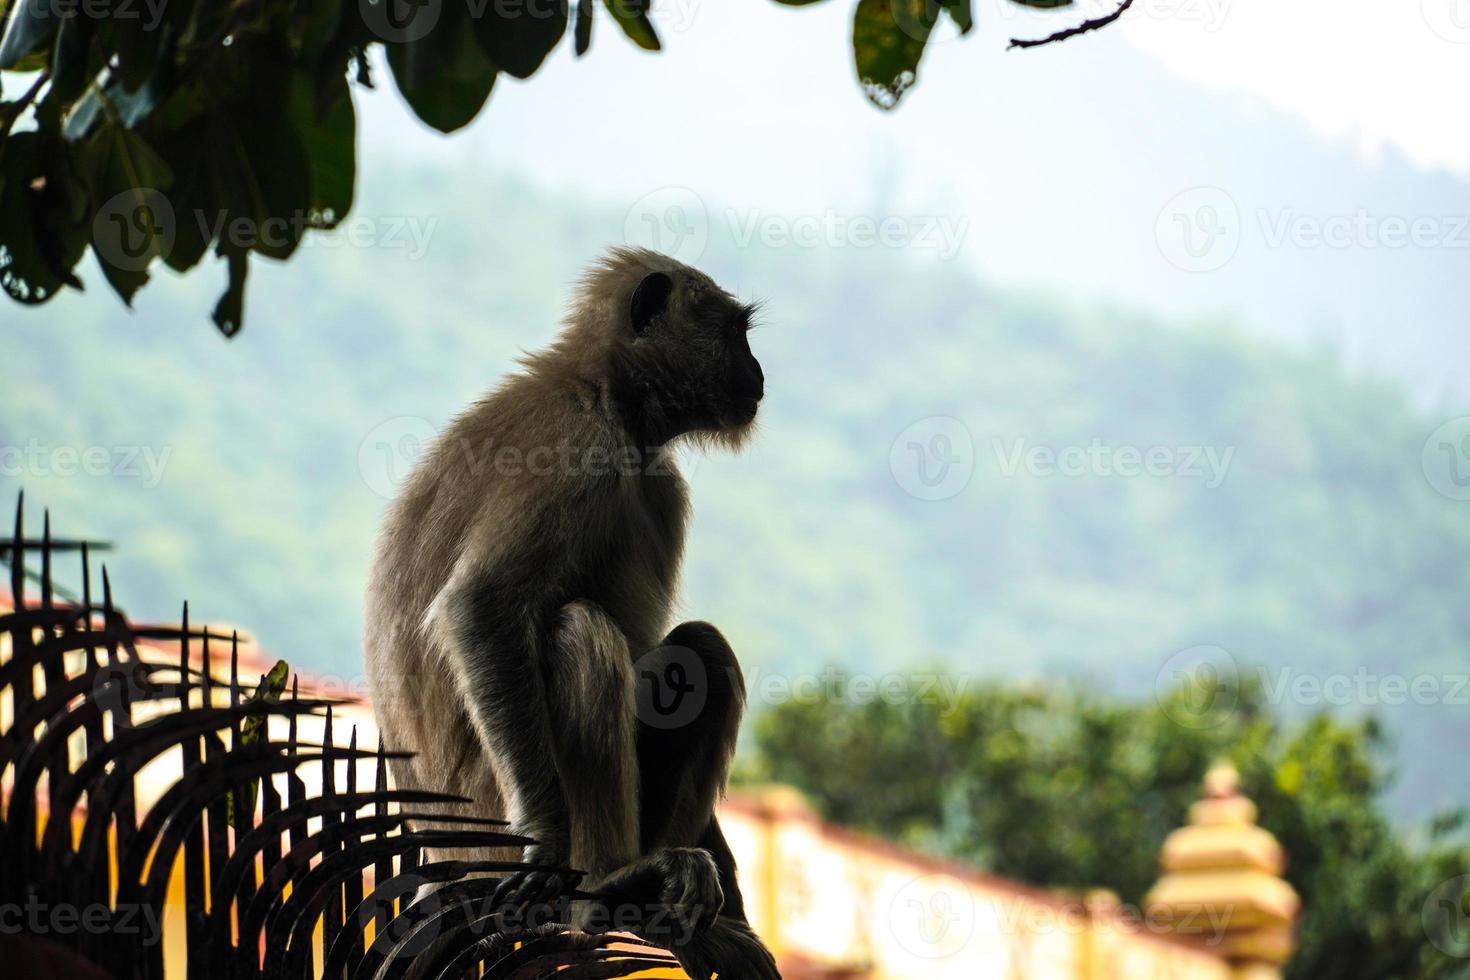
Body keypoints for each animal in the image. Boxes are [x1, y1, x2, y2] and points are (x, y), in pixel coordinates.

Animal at [364, 246, 782, 980]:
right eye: (734, 332)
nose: (758, 372)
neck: (602, 392)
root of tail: (444, 867)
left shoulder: (654, 480)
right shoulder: (577, 447)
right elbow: (482, 604)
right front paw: (549, 842)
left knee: (697, 651)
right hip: (485, 822)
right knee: (580, 633)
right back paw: (607, 889)